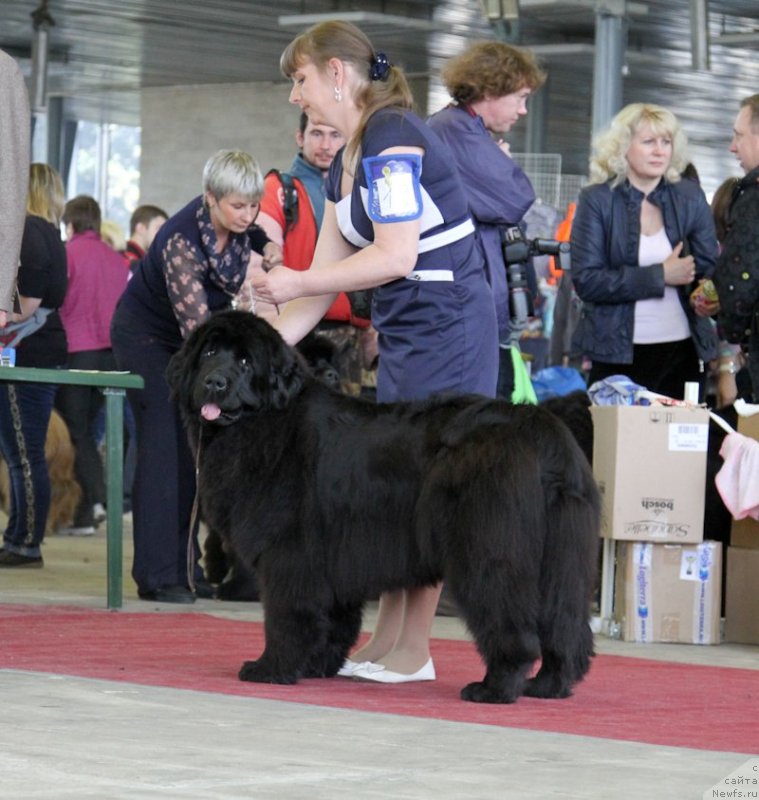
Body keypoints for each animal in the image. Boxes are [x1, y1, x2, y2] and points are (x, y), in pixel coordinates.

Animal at [166, 310, 600, 704]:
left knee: (511, 623)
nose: (214, 382)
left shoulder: (290, 556)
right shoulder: (334, 557)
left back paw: (495, 688)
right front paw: (317, 666)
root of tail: (536, 426)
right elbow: (335, 620)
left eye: (244, 361)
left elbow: (288, 616)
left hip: (487, 552)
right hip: (564, 558)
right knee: (565, 626)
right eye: (209, 352)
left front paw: (271, 668)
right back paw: (547, 686)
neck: (268, 420)